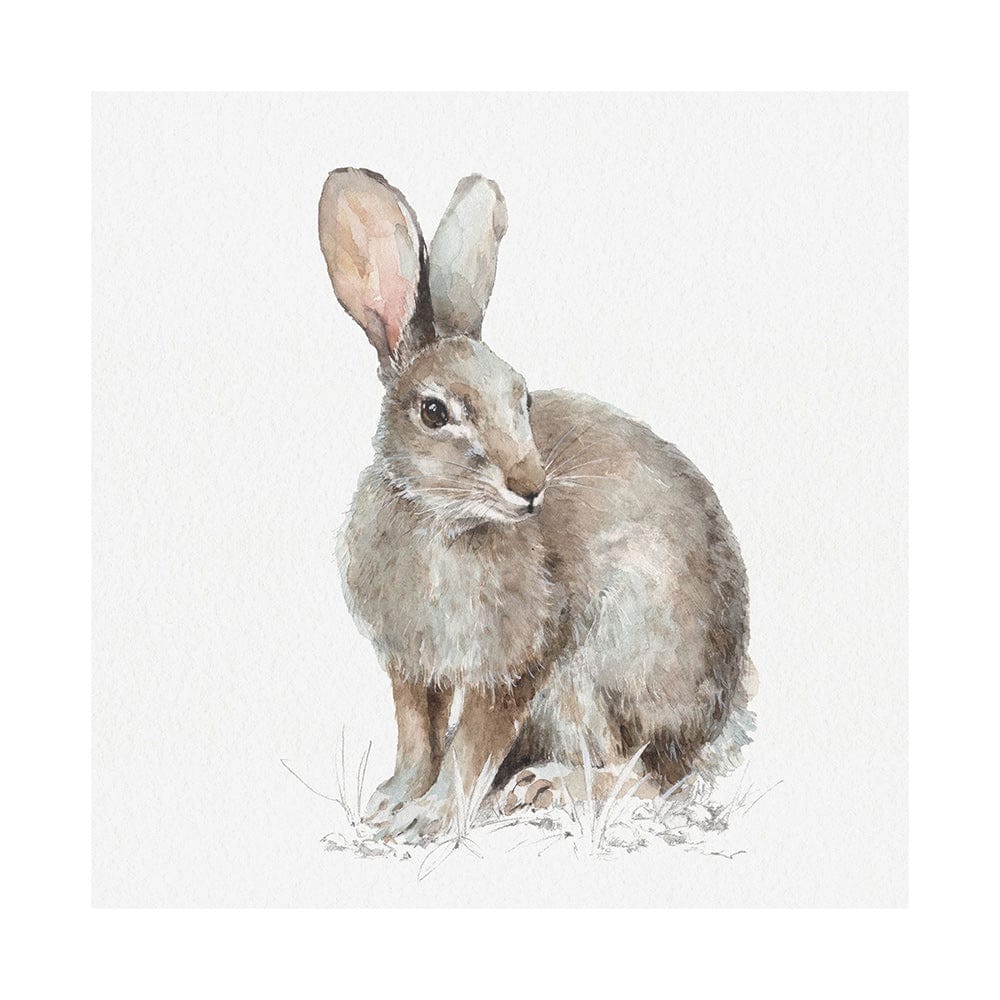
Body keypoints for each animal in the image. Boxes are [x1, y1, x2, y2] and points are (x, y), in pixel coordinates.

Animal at [318, 167, 754, 842]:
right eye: (434, 412)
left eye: (520, 398)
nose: (530, 485)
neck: (443, 523)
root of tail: (716, 719)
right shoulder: (413, 668)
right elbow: (418, 737)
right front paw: (393, 803)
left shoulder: (518, 664)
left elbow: (471, 746)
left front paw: (432, 816)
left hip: (601, 676)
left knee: (649, 774)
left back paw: (545, 787)